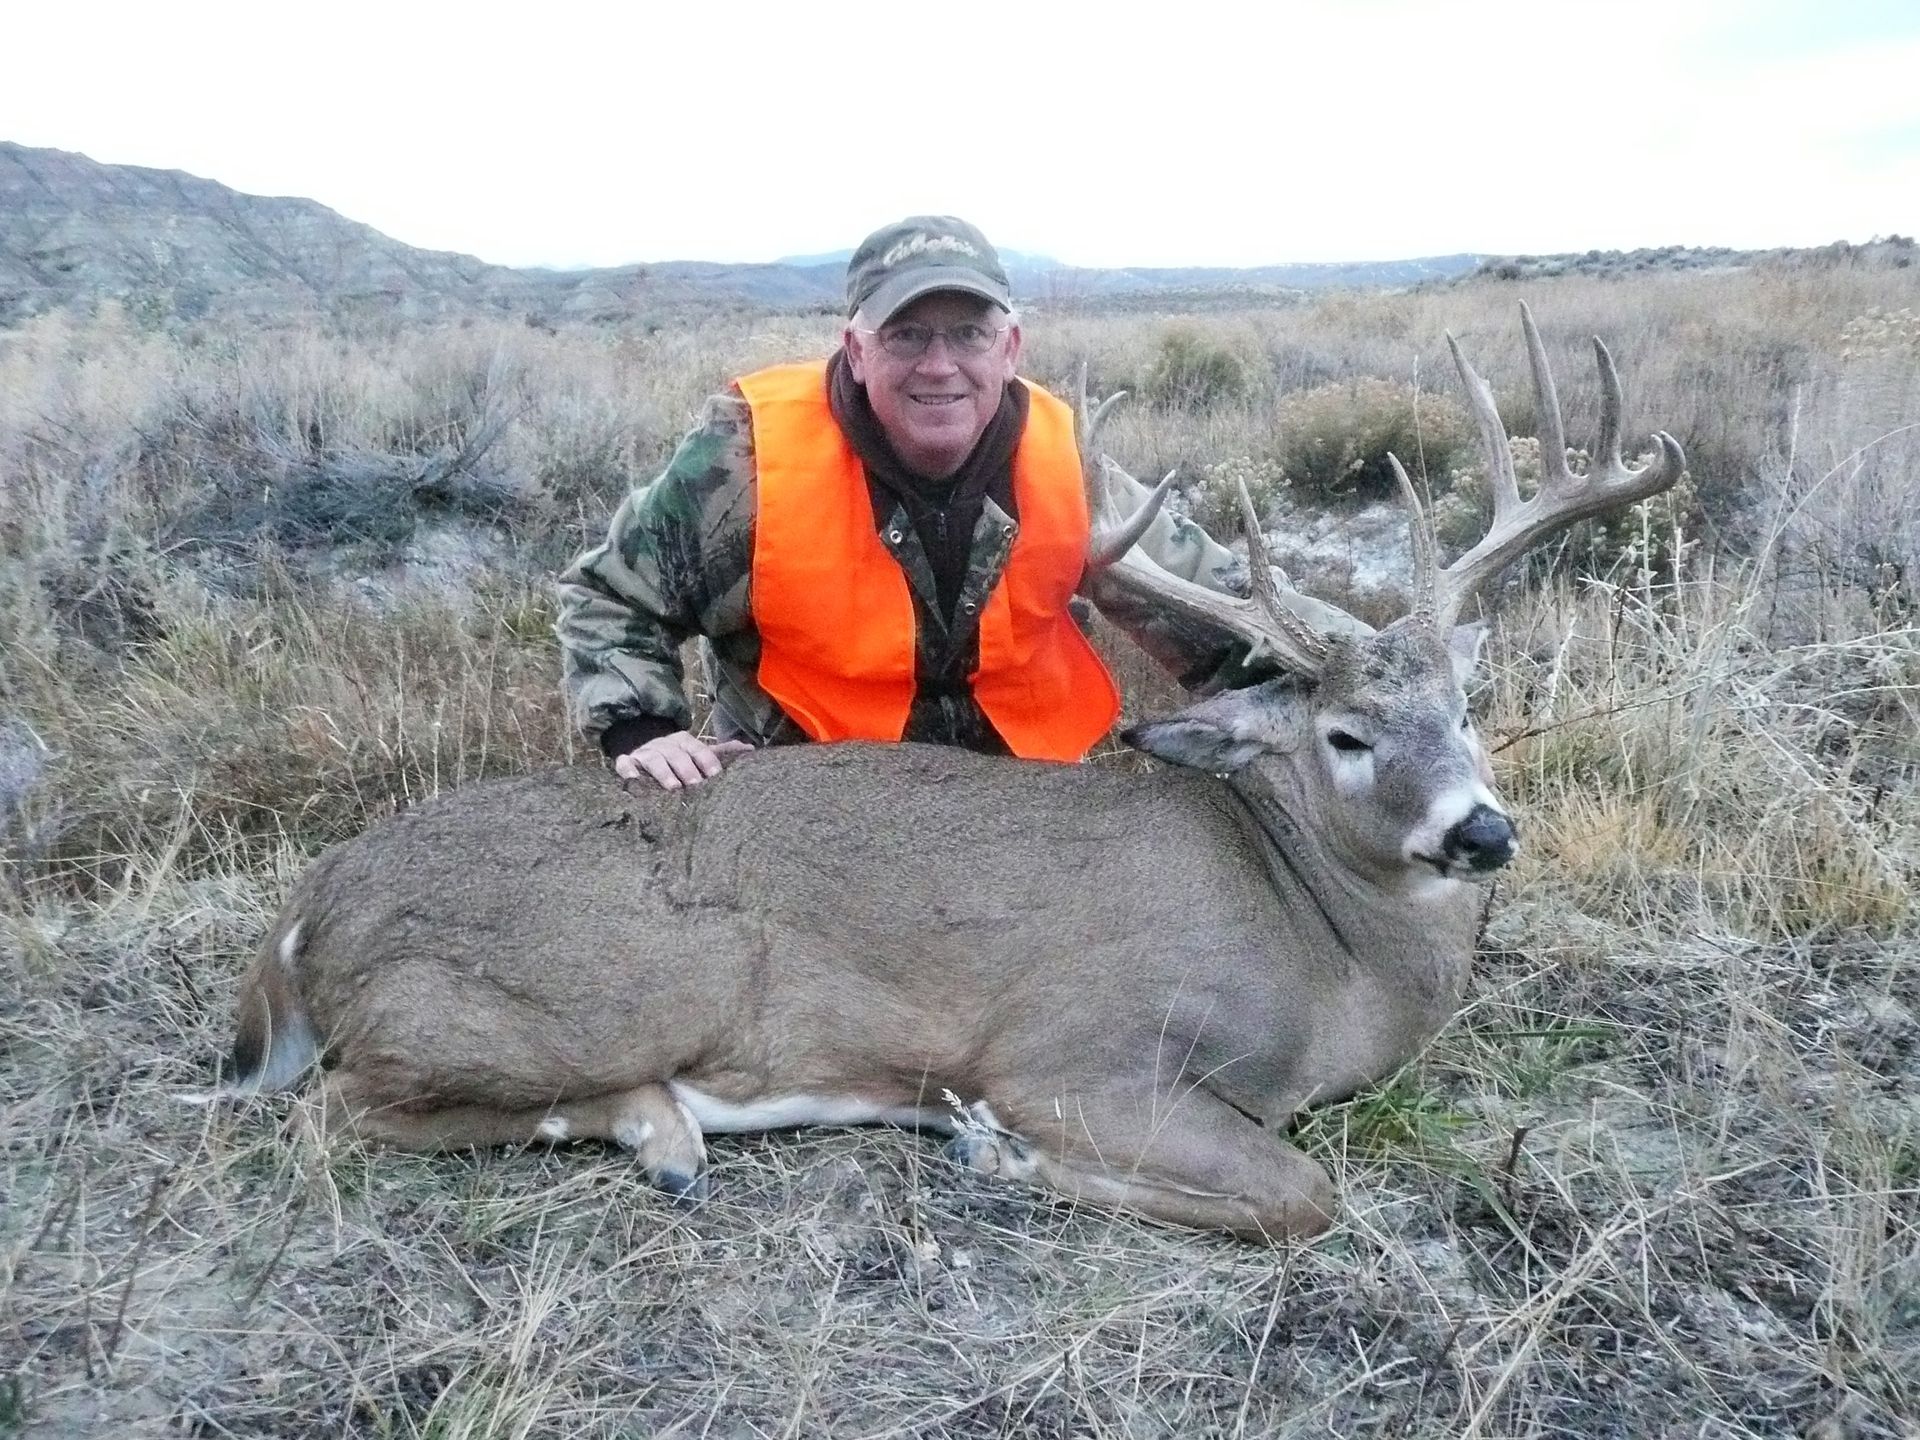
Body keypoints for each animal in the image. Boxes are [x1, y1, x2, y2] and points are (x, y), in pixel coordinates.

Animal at [212, 304, 1684, 1241]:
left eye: (1469, 708)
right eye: (1347, 736)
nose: (1482, 833)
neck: (1324, 950)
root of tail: (303, 915)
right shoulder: (1074, 1049)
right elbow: (1298, 1197)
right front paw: (996, 1151)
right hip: (613, 985)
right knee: (334, 1113)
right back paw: (660, 1133)